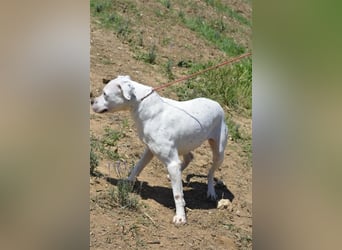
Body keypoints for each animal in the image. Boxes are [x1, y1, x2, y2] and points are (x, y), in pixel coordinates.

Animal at [92, 75, 228, 225]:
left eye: (105, 94)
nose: (91, 101)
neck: (144, 106)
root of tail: (218, 104)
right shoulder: (150, 151)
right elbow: (137, 167)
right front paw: (127, 182)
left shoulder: (171, 162)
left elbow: (177, 194)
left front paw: (180, 216)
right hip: (184, 145)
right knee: (189, 157)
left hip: (219, 153)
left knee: (210, 172)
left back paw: (211, 192)